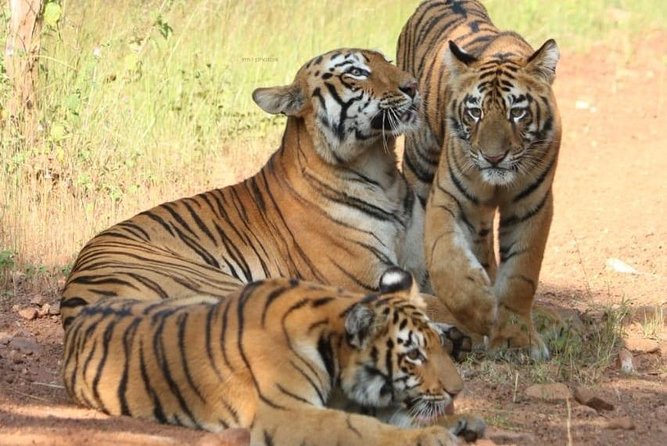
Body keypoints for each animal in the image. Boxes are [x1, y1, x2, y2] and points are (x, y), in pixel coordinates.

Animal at [63, 268, 485, 445]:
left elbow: (392, 416)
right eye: (413, 354)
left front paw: (461, 423)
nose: (457, 392)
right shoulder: (288, 413)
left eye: (435, 346)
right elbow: (362, 429)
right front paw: (433, 437)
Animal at [396, 0, 562, 359]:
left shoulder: (532, 205)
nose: (493, 157)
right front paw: (481, 310)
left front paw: (515, 338)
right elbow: (446, 258)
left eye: (517, 113)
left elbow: (520, 274)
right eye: (476, 112)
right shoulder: (449, 197)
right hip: (420, 162)